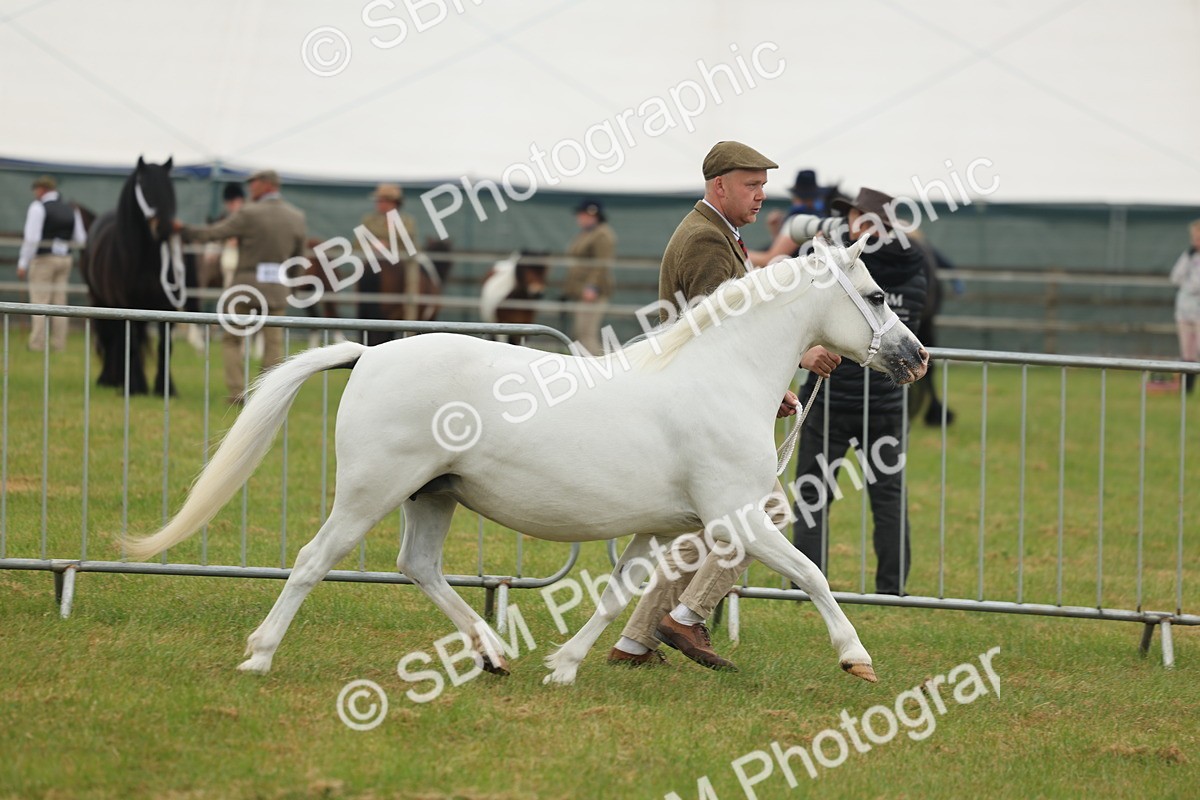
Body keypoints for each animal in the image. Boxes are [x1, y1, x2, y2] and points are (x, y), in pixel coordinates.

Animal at [79, 157, 188, 395]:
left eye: (170, 188)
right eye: (145, 187)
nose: (164, 228)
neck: (144, 261)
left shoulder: (165, 306)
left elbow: (165, 345)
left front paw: (165, 389)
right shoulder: (124, 305)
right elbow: (132, 345)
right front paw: (137, 387)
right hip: (100, 301)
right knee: (111, 338)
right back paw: (109, 380)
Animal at [123, 237, 927, 686]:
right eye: (875, 292)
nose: (915, 358)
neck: (718, 378)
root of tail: (369, 354)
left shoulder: (662, 527)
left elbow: (615, 598)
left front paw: (564, 667)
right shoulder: (738, 519)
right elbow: (813, 576)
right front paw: (856, 658)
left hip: (434, 495)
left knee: (419, 567)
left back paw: (492, 656)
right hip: (369, 492)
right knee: (312, 561)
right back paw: (259, 656)